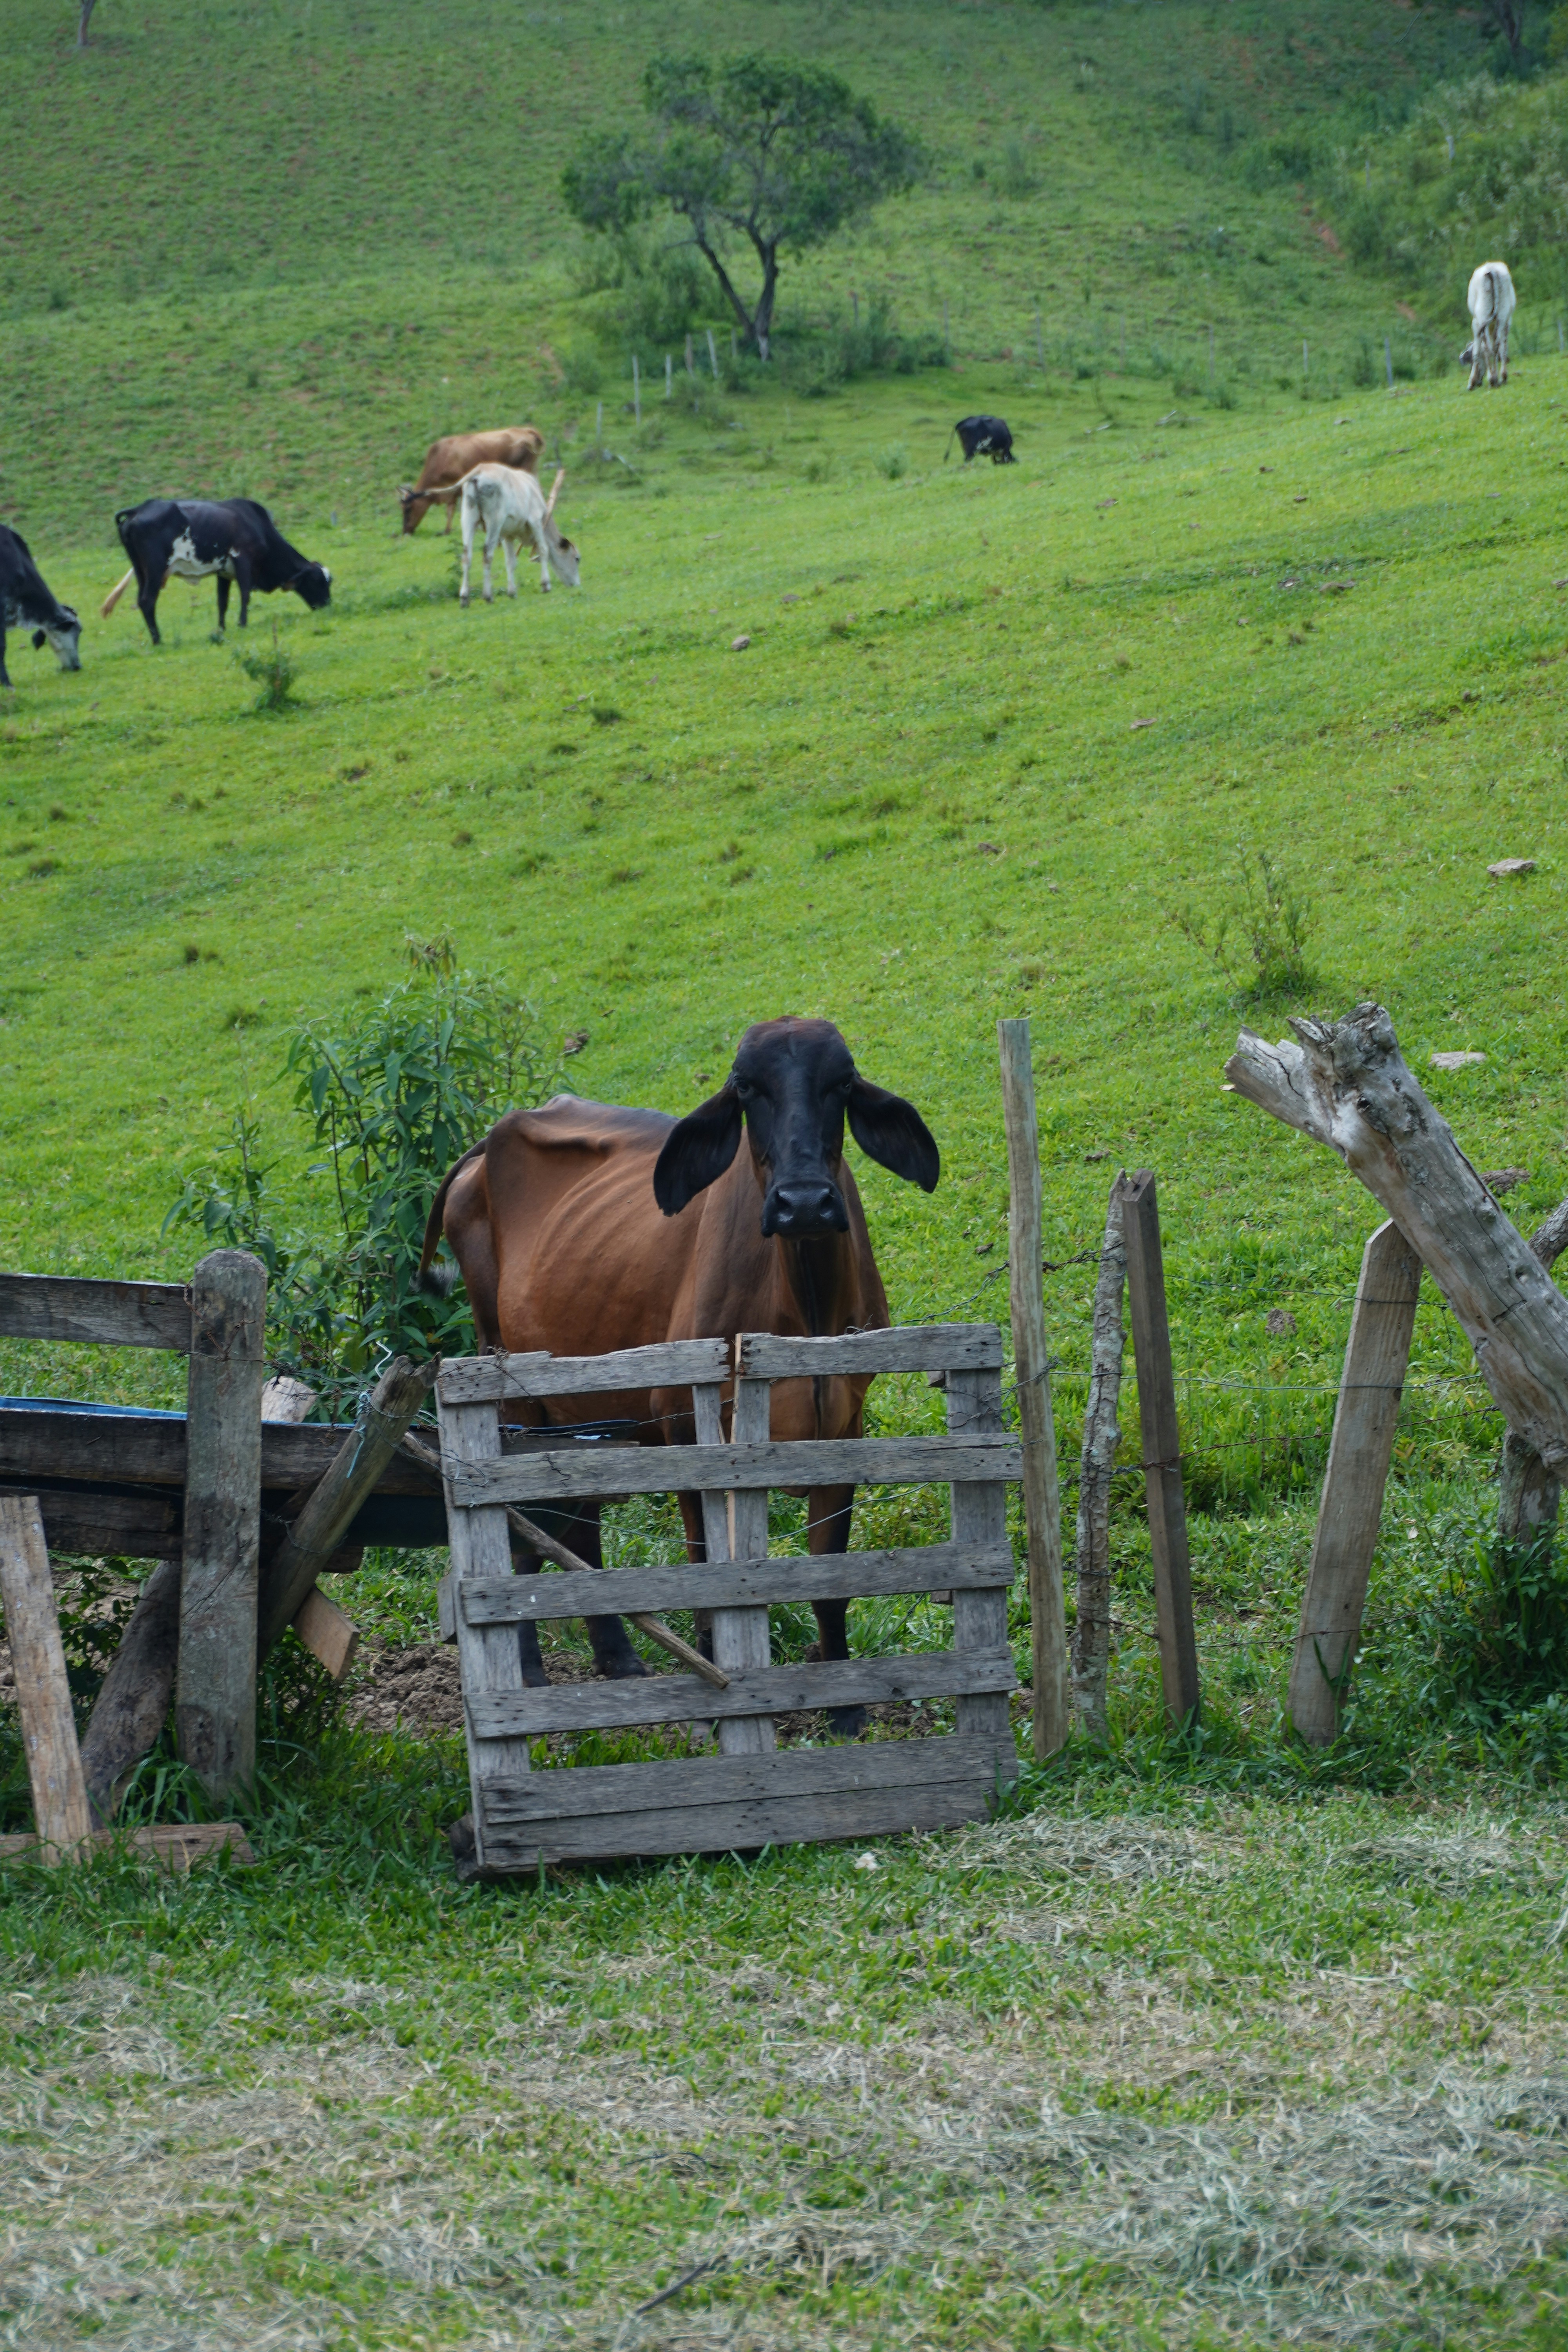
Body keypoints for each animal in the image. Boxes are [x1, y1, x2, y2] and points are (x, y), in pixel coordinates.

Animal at [103, 499, 332, 645]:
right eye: (318, 581)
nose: (328, 606)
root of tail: (139, 509)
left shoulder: (224, 572)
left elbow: (223, 602)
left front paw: (222, 629)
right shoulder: (243, 561)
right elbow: (245, 595)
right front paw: (242, 624)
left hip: (141, 572)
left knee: (141, 601)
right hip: (155, 570)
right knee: (147, 601)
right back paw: (158, 640)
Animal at [398, 427, 545, 535]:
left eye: (408, 509)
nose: (405, 532)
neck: (442, 456)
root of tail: (526, 430)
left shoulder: (459, 486)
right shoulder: (452, 491)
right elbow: (451, 509)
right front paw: (447, 530)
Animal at [418, 1017, 940, 1730]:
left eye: (843, 1083)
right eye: (745, 1087)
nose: (804, 1203)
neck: (804, 1306)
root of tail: (493, 1137)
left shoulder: (845, 1426)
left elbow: (830, 1578)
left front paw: (846, 1707)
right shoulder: (685, 1428)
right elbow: (705, 1568)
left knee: (581, 1527)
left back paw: (618, 1656)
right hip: (509, 1389)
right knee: (526, 1529)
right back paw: (527, 1671)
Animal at [451, 464, 579, 604]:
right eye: (577, 559)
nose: (577, 585)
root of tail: (481, 469)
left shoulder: (508, 535)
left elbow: (511, 562)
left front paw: (512, 593)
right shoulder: (535, 521)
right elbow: (544, 550)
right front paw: (546, 585)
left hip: (468, 519)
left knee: (466, 556)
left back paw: (464, 598)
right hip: (494, 522)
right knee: (487, 554)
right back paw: (488, 596)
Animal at [1462, 261, 1516, 390]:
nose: (1479, 382)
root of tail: (1492, 269)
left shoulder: (1476, 323)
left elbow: (1477, 351)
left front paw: (1471, 382)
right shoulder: (1508, 322)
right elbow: (1503, 347)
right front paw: (1502, 376)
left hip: (1482, 316)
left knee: (1487, 346)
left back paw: (1492, 380)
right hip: (1502, 315)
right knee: (1497, 345)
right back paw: (1500, 378)